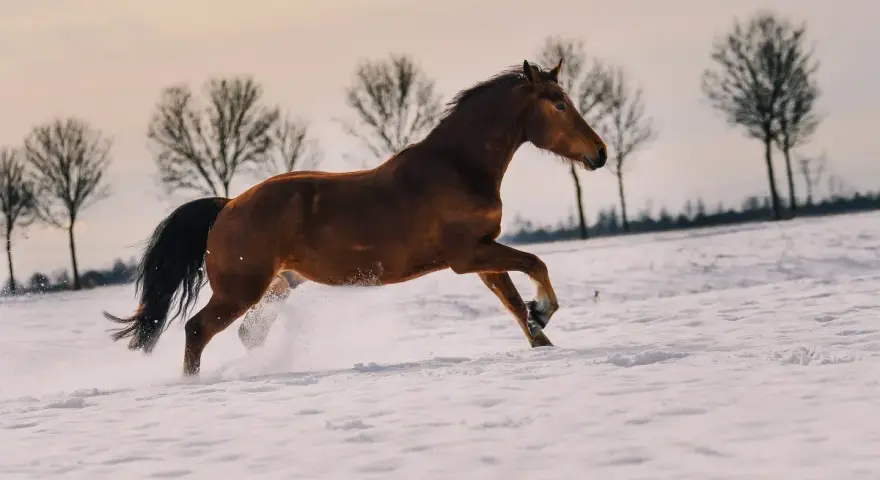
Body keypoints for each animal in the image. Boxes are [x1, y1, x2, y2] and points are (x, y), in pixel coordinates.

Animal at [105, 58, 608, 377]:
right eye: (559, 104)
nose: (600, 154)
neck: (457, 167)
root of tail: (226, 207)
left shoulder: (483, 257)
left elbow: (515, 303)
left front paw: (543, 336)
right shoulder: (467, 256)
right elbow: (535, 264)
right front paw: (545, 312)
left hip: (276, 287)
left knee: (247, 333)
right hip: (240, 291)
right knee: (197, 330)